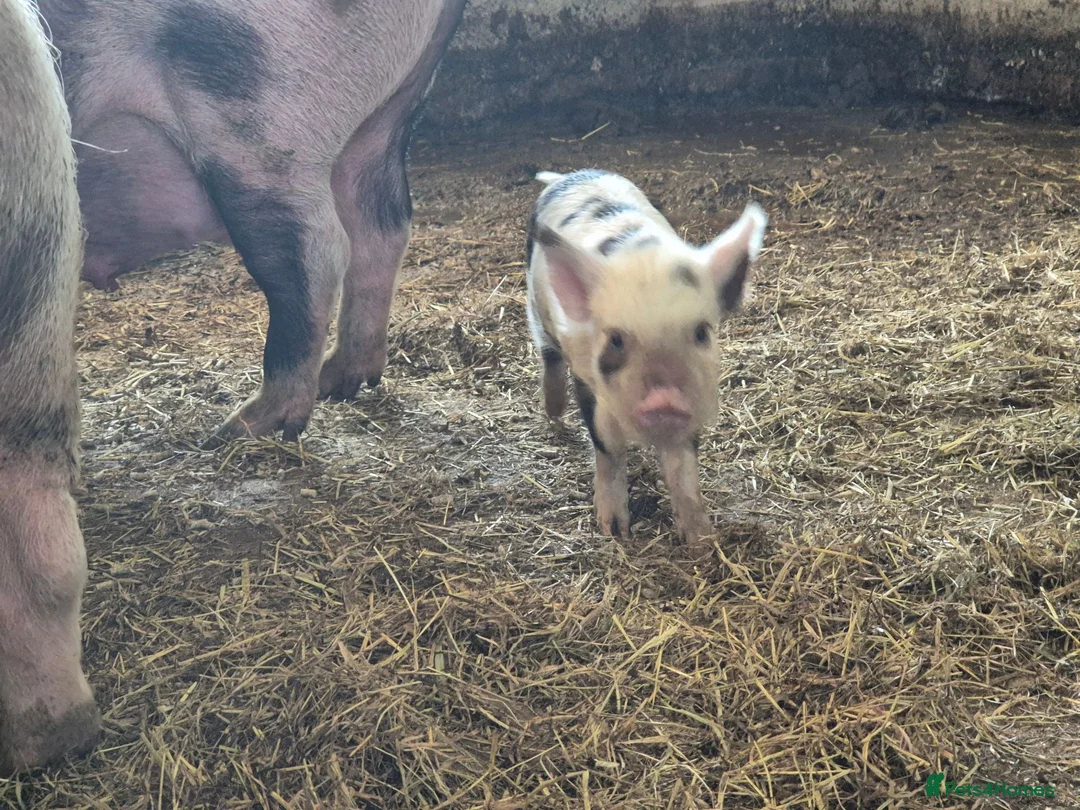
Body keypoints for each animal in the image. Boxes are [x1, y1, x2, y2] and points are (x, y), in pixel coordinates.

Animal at [40, 0, 467, 442]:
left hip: (254, 118)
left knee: (314, 253)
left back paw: (239, 428)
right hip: (385, 116)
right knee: (380, 227)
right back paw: (339, 385)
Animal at [525, 169, 767, 551]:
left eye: (701, 332)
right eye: (615, 339)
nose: (664, 399)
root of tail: (569, 175)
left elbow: (683, 468)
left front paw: (701, 542)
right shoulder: (587, 380)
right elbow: (607, 448)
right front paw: (613, 531)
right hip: (536, 311)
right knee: (548, 355)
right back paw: (555, 417)